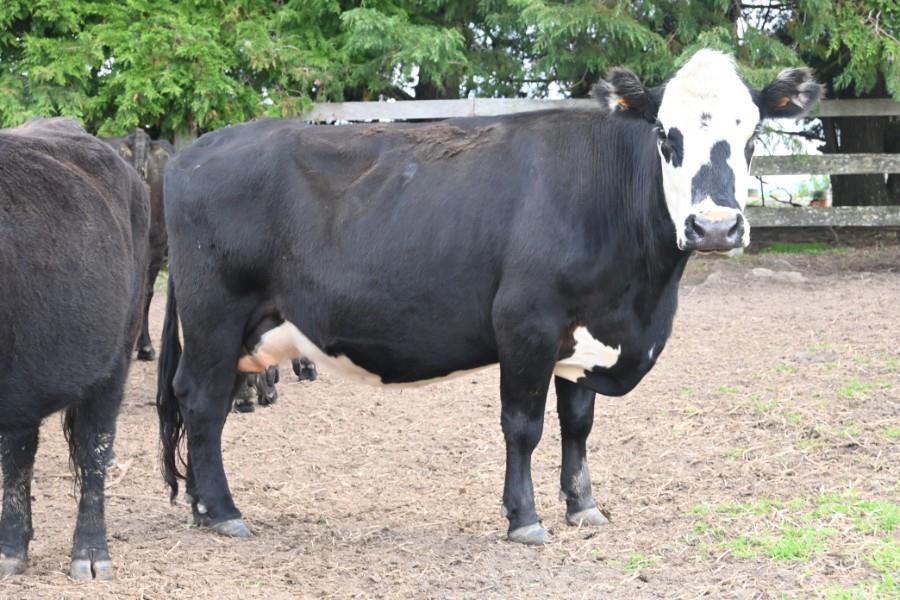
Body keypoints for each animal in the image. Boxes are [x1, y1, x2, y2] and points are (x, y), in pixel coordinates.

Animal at [156, 50, 822, 544]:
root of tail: (196, 151)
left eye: (753, 133)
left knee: (197, 403)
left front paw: (584, 506)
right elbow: (523, 425)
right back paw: (223, 512)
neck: (639, 300)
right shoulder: (527, 323)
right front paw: (524, 519)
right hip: (215, 315)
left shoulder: (584, 335)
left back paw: (201, 509)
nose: (715, 227)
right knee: (202, 403)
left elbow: (578, 424)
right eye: (666, 134)